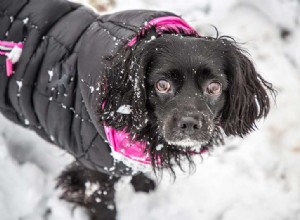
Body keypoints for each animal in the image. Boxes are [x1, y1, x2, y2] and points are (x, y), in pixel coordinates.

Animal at [0, 0, 274, 219]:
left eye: (214, 87)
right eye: (162, 85)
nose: (189, 123)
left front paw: (142, 183)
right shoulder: (93, 174)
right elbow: (105, 208)